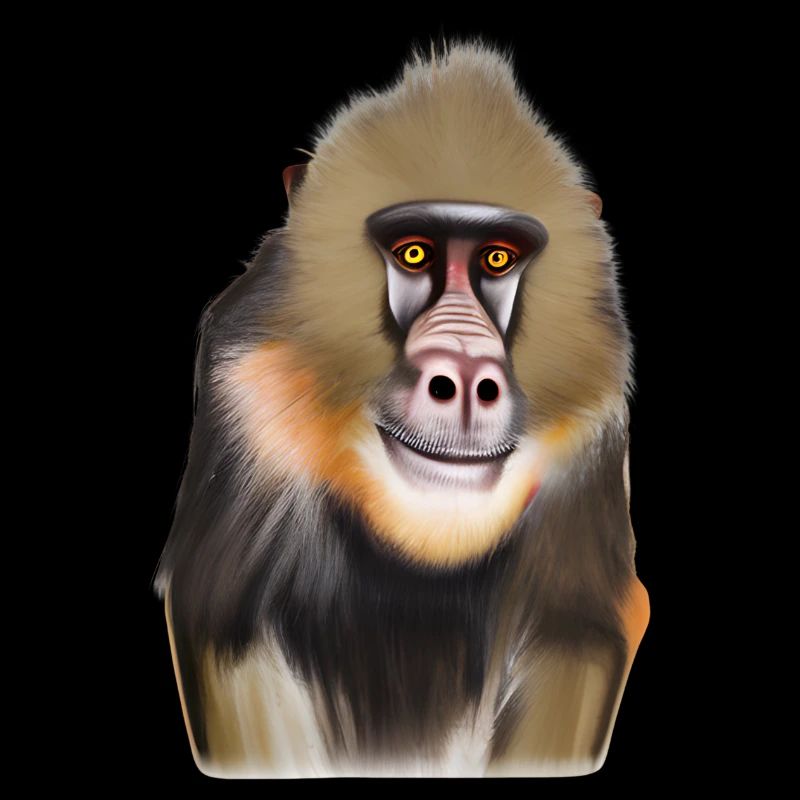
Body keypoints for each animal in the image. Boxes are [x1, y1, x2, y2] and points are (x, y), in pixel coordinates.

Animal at [153, 38, 649, 778]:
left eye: (497, 259)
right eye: (414, 252)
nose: (465, 378)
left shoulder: (591, 441)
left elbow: (575, 635)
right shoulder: (246, 398)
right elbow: (226, 626)